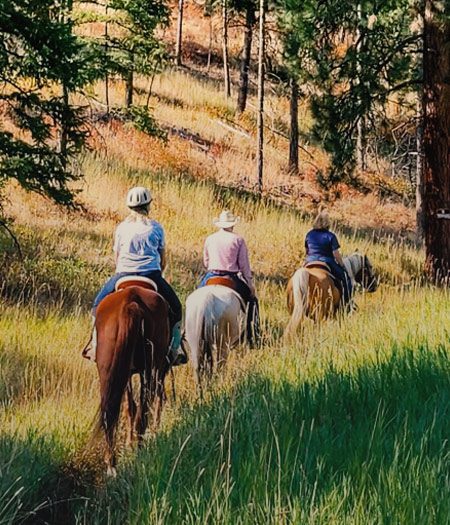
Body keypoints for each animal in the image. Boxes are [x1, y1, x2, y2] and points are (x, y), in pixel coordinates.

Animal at [94, 278, 170, 474]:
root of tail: (131, 302)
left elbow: (129, 407)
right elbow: (134, 407)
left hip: (108, 370)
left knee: (110, 413)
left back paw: (112, 464)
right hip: (149, 370)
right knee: (143, 410)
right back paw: (139, 451)